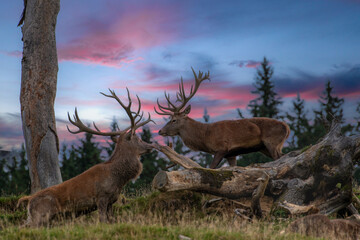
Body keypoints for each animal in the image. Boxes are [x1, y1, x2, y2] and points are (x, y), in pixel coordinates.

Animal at [17, 88, 155, 227]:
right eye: (138, 139)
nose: (151, 145)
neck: (118, 179)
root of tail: (28, 200)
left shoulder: (112, 200)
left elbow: (111, 221)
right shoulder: (101, 197)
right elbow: (103, 220)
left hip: (35, 217)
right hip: (42, 214)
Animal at [156, 68, 292, 169]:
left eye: (174, 120)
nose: (160, 131)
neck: (205, 136)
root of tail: (287, 128)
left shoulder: (221, 148)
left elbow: (210, 168)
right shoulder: (231, 155)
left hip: (272, 142)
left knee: (280, 158)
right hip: (264, 147)